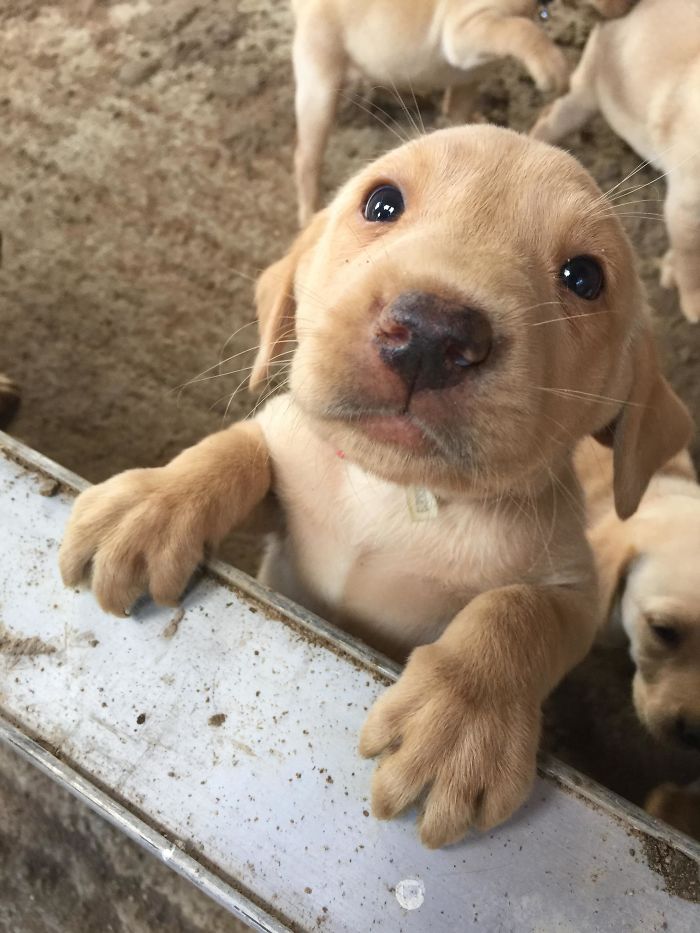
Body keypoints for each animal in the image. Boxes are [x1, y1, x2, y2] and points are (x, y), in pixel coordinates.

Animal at [58, 127, 688, 848]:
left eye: (584, 278)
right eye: (382, 203)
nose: (434, 333)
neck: (395, 496)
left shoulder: (577, 592)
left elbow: (516, 610)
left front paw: (461, 721)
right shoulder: (289, 478)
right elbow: (236, 449)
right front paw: (153, 505)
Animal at [290, 0, 568, 224]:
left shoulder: (468, 81)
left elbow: (459, 113)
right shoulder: (465, 30)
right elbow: (519, 28)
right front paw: (552, 63)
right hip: (320, 92)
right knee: (306, 160)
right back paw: (309, 212)